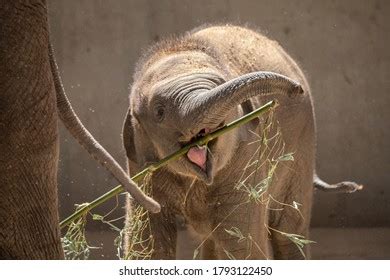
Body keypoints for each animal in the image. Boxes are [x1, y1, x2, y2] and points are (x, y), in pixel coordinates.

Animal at [123, 25, 362, 260]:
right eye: (159, 112)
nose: (296, 88)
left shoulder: (247, 155)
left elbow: (241, 242)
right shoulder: (139, 165)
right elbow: (147, 243)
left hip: (303, 144)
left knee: (288, 230)